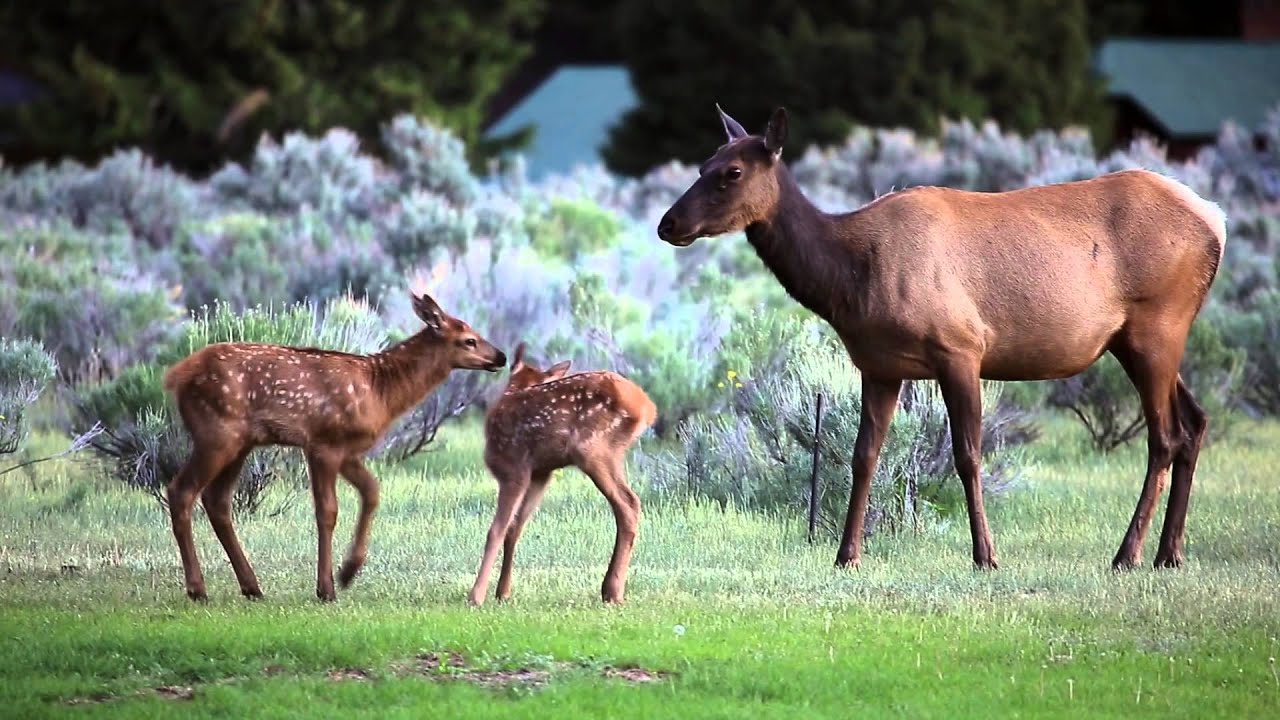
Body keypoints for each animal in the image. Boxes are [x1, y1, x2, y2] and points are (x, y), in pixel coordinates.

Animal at [162, 290, 507, 602]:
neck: (381, 393)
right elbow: (327, 511)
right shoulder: (323, 443)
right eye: (469, 340)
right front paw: (326, 588)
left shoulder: (349, 451)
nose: (501, 356)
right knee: (182, 491)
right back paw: (198, 589)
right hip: (216, 433)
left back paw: (252, 586)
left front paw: (349, 571)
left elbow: (372, 492)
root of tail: (177, 375)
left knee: (216, 500)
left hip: (240, 443)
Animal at [468, 343, 657, 606]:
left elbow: (496, 530)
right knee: (629, 504)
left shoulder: (513, 468)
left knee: (628, 503)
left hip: (593, 450)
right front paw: (503, 592)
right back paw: (611, 589)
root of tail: (647, 408)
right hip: (608, 454)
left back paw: (612, 591)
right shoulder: (540, 473)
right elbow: (515, 528)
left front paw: (476, 596)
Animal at [657, 104, 1226, 574]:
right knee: (1195, 421)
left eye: (732, 173)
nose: (668, 224)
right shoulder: (879, 366)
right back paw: (1169, 553)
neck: (850, 280)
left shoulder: (961, 348)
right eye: (703, 165)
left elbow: (968, 455)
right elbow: (863, 455)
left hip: (1157, 323)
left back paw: (1128, 554)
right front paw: (847, 554)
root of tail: (1216, 220)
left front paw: (986, 555)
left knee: (1165, 436)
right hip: (1140, 339)